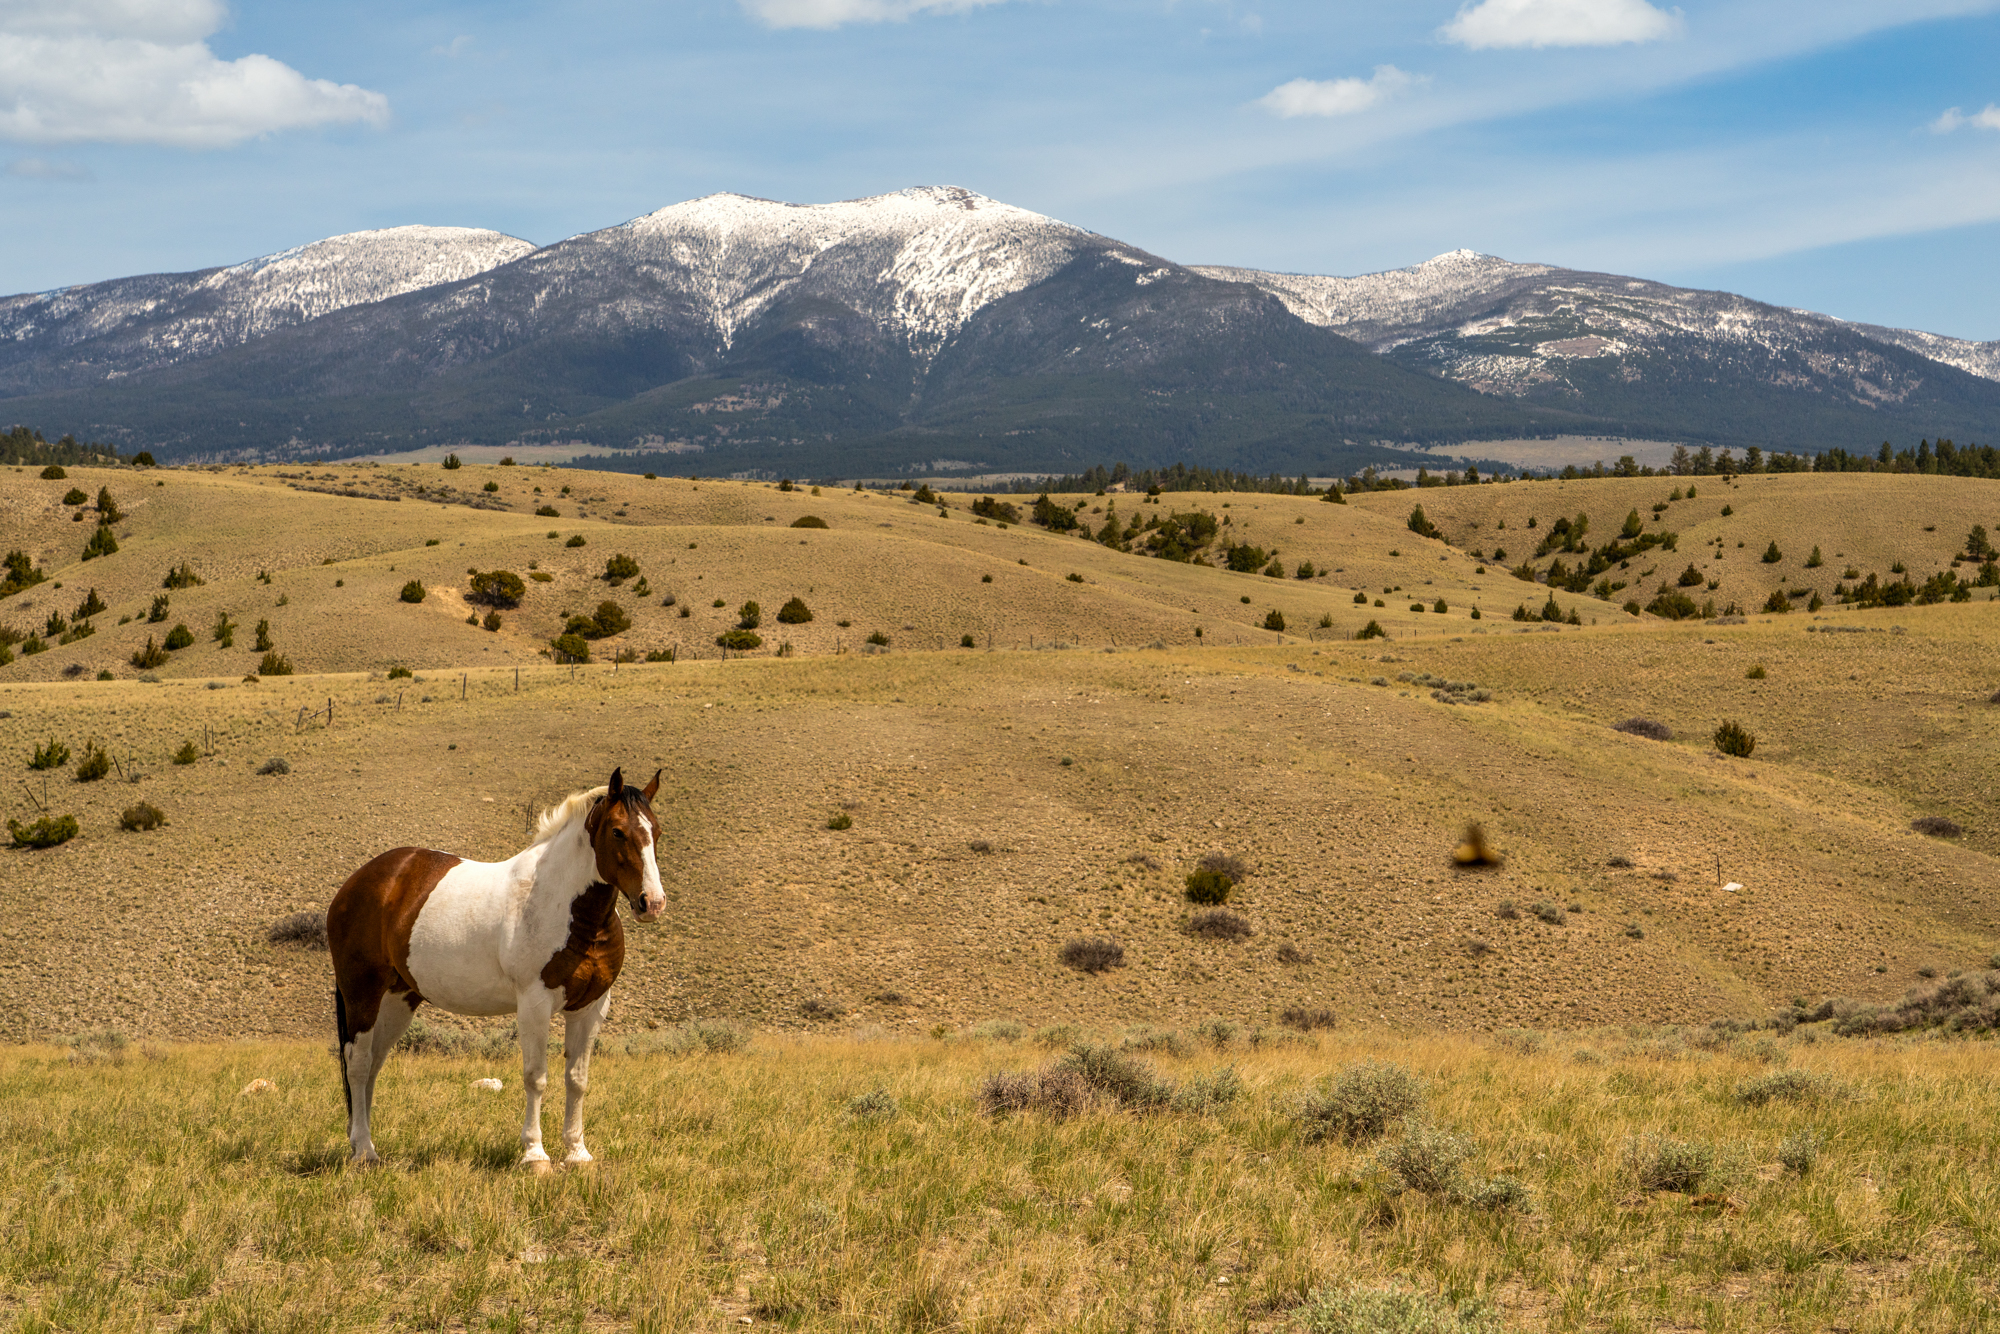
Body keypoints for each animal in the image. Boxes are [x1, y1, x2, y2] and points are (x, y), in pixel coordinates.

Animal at [328, 768, 668, 1176]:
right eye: (618, 832)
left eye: (657, 830)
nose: (652, 902)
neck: (563, 904)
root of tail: (362, 881)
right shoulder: (535, 1003)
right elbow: (536, 1077)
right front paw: (535, 1155)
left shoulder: (590, 1007)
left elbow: (577, 1080)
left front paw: (577, 1153)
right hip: (361, 992)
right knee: (358, 1063)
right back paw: (364, 1150)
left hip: (398, 999)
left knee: (374, 1065)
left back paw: (363, 1145)